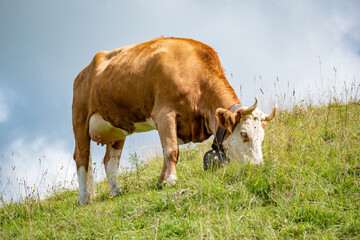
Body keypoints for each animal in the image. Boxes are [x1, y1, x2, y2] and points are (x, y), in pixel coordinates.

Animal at [72, 37, 276, 204]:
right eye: (244, 134)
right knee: (82, 158)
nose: (257, 166)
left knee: (110, 160)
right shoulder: (164, 113)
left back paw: (115, 192)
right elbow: (171, 150)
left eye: (262, 137)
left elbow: (167, 152)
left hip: (116, 128)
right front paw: (172, 181)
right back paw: (84, 199)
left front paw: (161, 182)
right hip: (80, 120)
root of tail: (82, 72)